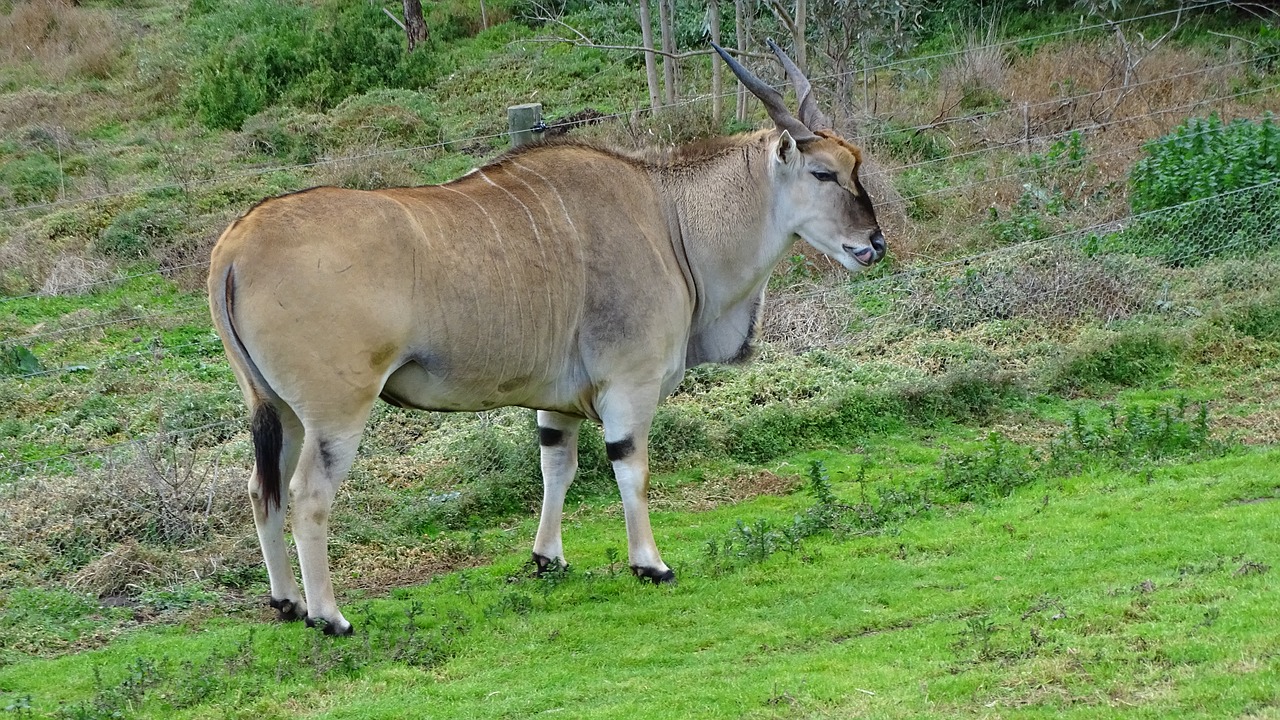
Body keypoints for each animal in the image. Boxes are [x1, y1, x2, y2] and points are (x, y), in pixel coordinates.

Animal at [208, 40, 885, 634]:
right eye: (823, 173)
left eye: (856, 165)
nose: (874, 244)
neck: (668, 215)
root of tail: (234, 246)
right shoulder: (629, 384)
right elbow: (631, 468)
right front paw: (650, 564)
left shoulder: (556, 402)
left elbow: (556, 465)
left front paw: (547, 559)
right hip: (335, 412)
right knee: (308, 495)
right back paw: (329, 617)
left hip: (279, 410)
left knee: (263, 490)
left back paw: (288, 604)